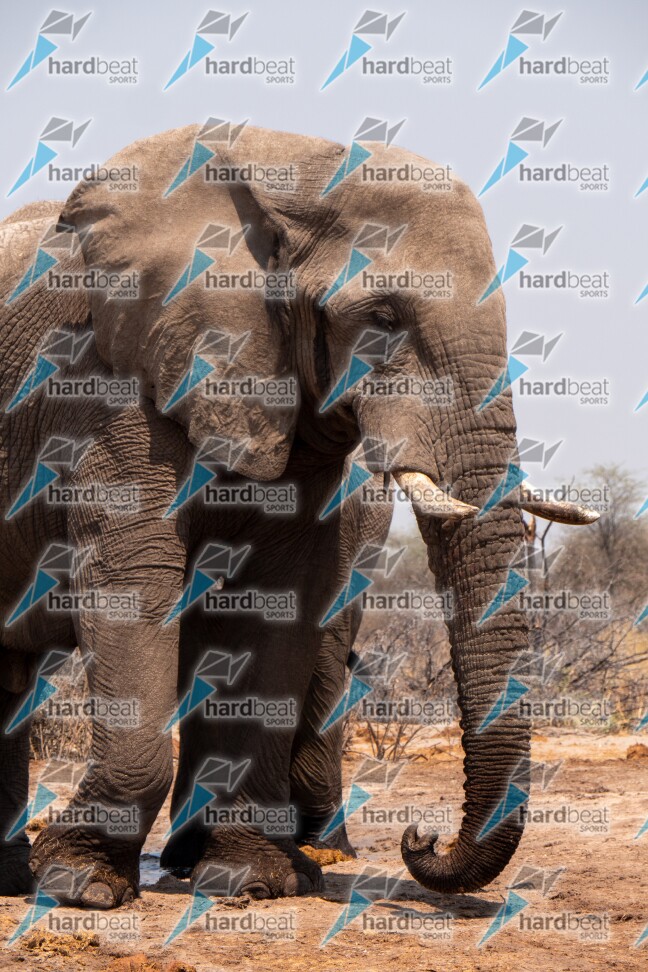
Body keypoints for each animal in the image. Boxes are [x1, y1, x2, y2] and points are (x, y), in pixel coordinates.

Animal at [0, 125, 598, 907]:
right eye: (382, 318)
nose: (420, 838)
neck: (293, 173)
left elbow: (272, 595)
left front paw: (255, 878)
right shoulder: (107, 376)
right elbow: (132, 576)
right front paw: (81, 883)